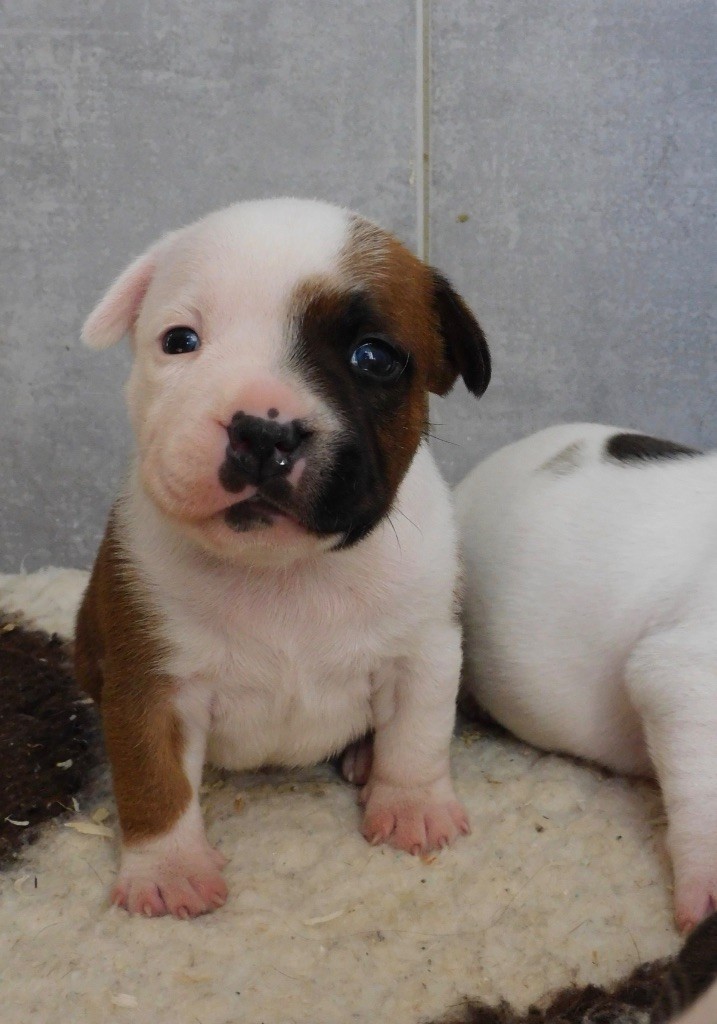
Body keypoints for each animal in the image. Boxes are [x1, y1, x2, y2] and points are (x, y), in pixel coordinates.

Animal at [75, 197, 493, 921]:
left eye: (373, 357)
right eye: (179, 341)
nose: (262, 431)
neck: (285, 571)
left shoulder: (424, 654)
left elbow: (417, 736)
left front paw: (411, 805)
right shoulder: (151, 686)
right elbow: (154, 781)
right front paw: (169, 868)